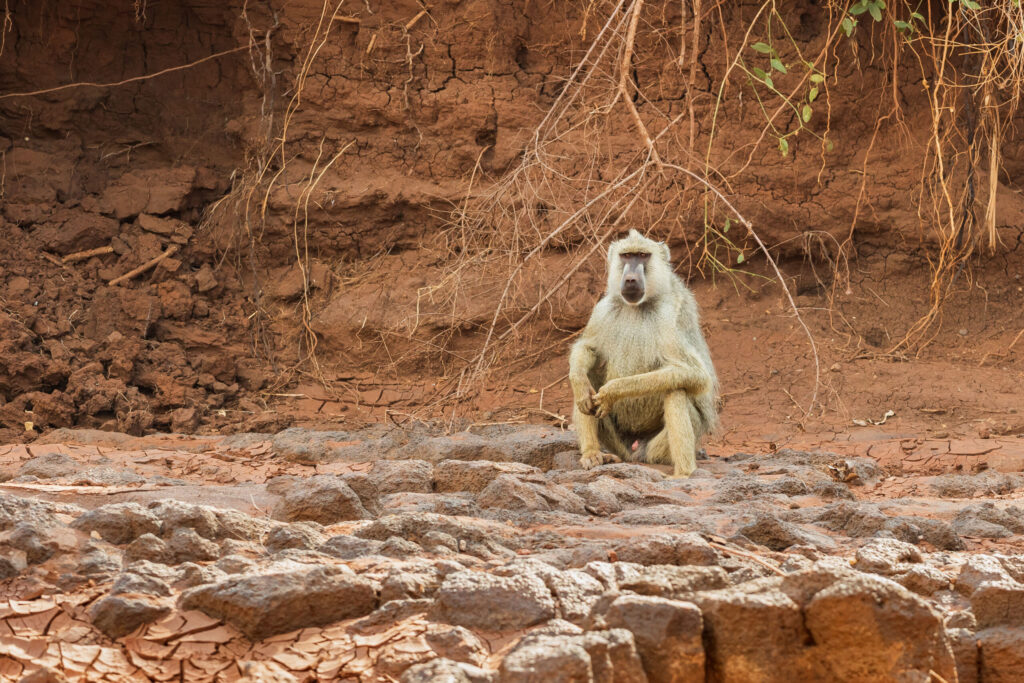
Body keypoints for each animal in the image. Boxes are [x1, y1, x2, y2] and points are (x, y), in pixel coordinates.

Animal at [568, 229, 719, 478]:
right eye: (627, 256)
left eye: (642, 255)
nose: (630, 279)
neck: (637, 307)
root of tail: (635, 453)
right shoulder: (603, 309)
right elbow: (587, 350)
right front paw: (579, 382)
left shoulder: (669, 318)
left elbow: (697, 376)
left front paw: (612, 392)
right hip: (619, 444)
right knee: (589, 377)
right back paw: (593, 454)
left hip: (656, 450)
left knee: (675, 389)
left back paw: (684, 473)